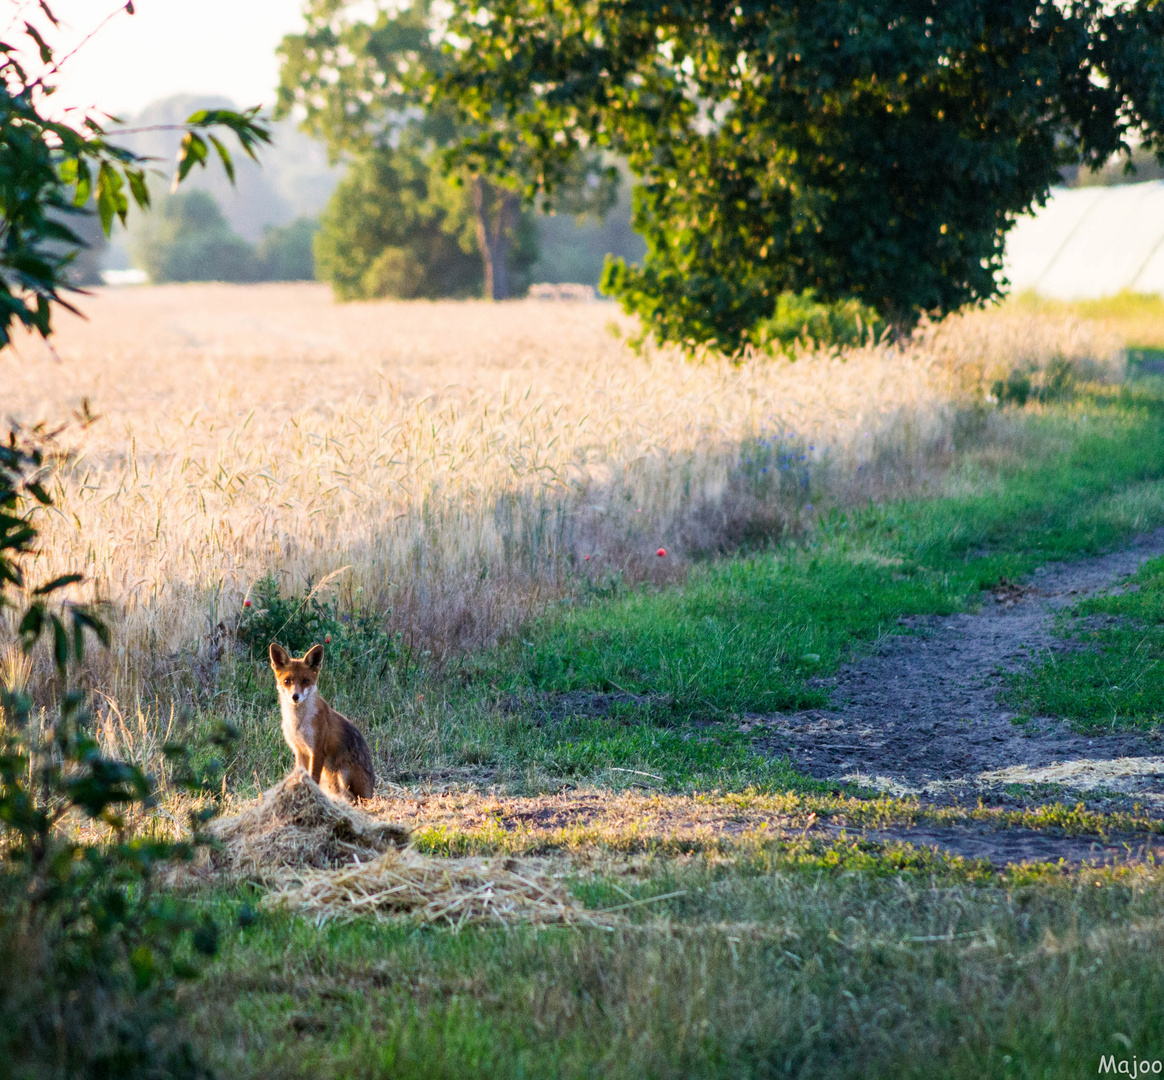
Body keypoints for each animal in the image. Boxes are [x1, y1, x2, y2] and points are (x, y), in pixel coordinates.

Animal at [266, 642, 372, 800]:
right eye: (287, 681)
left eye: (306, 681)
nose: (295, 696)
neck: (299, 723)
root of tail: (372, 791)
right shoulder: (300, 751)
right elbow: (301, 775)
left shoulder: (317, 750)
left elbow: (313, 778)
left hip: (342, 774)